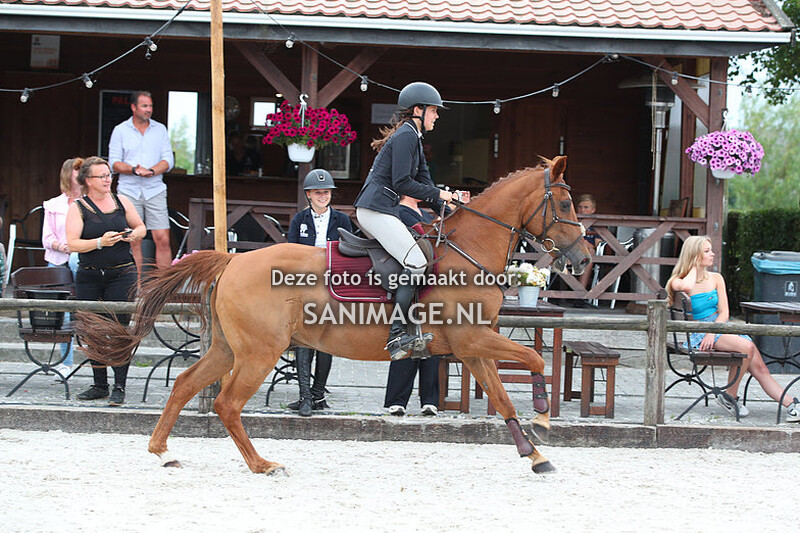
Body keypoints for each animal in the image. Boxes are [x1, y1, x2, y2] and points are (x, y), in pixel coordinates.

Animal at [77, 155, 591, 475]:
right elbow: (535, 360)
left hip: (228, 349)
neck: (468, 250)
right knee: (227, 404)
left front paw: (535, 454)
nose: (585, 259)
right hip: (260, 353)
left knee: (186, 385)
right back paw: (263, 465)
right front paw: (544, 419)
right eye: (565, 204)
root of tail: (232, 260)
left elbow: (503, 400)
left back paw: (163, 453)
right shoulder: (472, 341)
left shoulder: (471, 347)